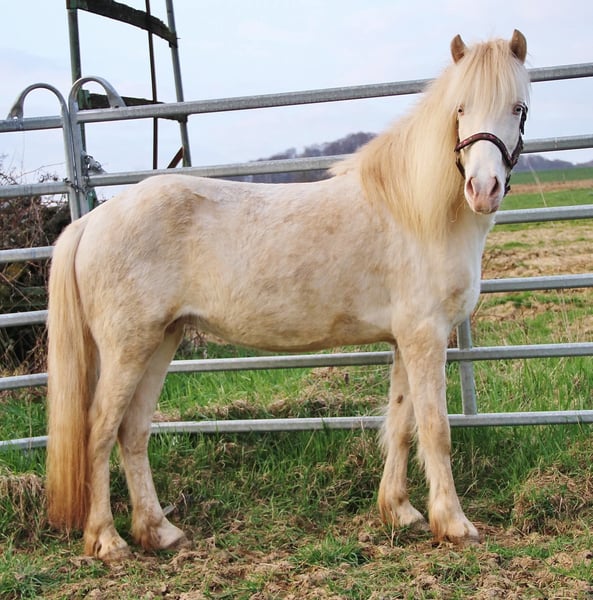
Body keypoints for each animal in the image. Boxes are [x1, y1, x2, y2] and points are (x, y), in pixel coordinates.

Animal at [46, 30, 530, 561]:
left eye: (518, 108)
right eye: (460, 108)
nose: (483, 188)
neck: (418, 212)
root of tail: (94, 220)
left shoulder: (406, 339)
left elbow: (401, 423)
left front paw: (400, 513)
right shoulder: (426, 336)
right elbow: (436, 429)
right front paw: (455, 524)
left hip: (161, 341)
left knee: (132, 432)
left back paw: (159, 532)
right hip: (126, 347)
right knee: (98, 430)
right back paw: (107, 541)